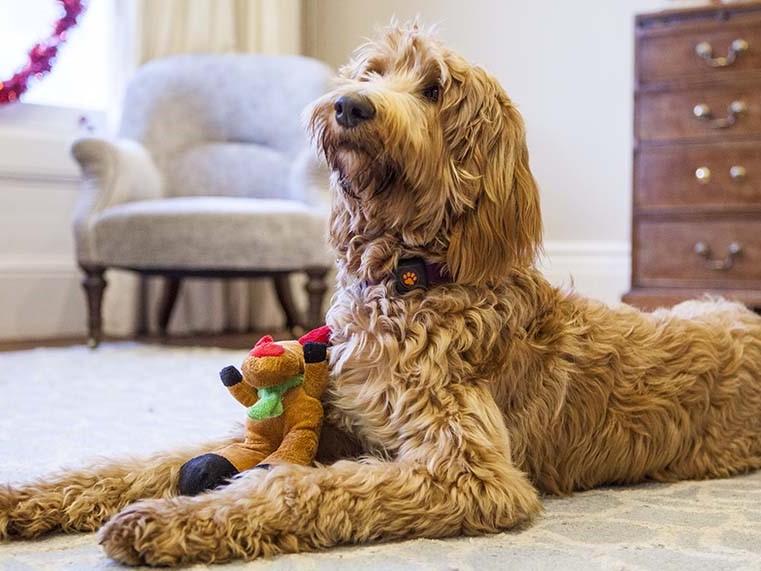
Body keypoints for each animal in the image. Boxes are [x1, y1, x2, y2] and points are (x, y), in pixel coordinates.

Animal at [1, 21, 760, 568]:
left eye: (435, 89)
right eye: (372, 72)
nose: (349, 104)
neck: (406, 279)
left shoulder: (467, 471)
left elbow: (298, 484)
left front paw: (173, 519)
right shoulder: (333, 422)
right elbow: (146, 460)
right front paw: (30, 495)